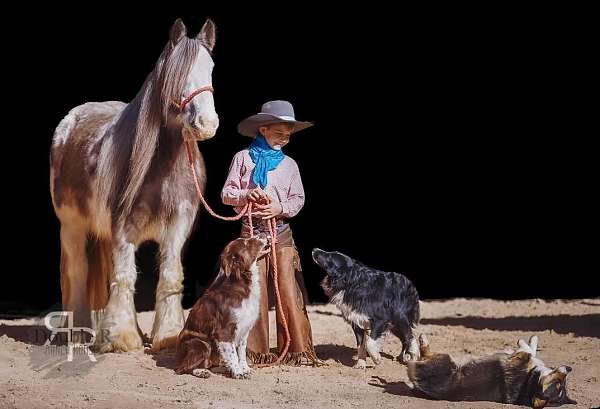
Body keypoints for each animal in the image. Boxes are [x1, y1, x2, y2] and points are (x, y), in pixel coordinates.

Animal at [173, 234, 268, 378]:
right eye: (246, 243)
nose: (263, 234)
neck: (243, 283)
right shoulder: (224, 331)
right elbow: (233, 354)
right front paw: (238, 372)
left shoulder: (244, 328)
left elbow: (241, 352)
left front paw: (245, 369)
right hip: (200, 344)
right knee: (181, 369)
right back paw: (201, 372)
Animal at [408, 334, 576, 406]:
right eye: (560, 382)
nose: (569, 368)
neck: (529, 381)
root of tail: (417, 382)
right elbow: (531, 350)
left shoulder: (519, 358)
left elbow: (528, 350)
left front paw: (525, 342)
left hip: (445, 360)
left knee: (424, 353)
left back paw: (420, 341)